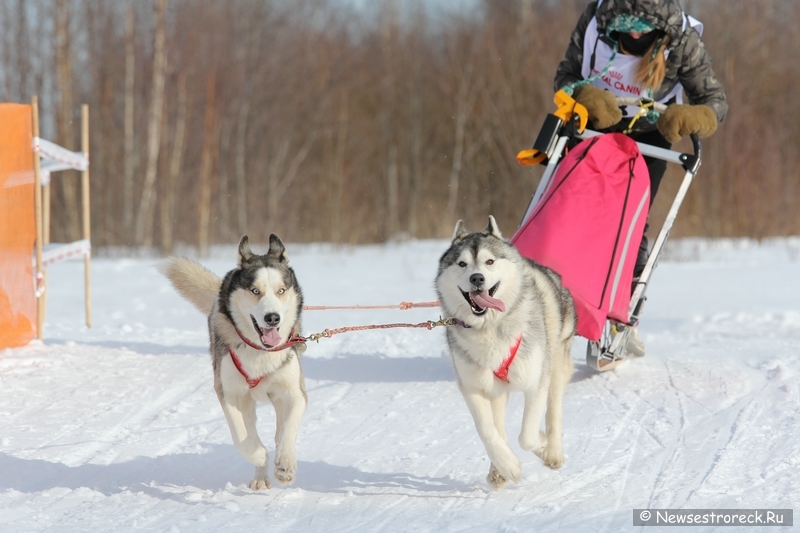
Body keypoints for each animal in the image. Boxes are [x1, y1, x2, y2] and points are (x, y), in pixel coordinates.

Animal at [159, 235, 306, 488]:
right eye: (255, 290)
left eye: (281, 291)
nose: (273, 318)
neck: (259, 351)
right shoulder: (229, 393)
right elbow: (240, 437)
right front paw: (258, 454)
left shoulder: (294, 392)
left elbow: (288, 429)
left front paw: (286, 463)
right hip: (246, 401)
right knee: (251, 429)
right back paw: (261, 474)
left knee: (279, 429)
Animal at [438, 215, 576, 486]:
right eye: (462, 264)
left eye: (490, 261)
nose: (477, 278)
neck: (489, 328)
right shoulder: (472, 387)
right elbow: (486, 430)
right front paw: (508, 464)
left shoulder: (536, 382)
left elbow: (527, 436)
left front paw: (542, 444)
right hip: (496, 389)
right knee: (498, 423)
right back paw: (498, 470)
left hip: (555, 365)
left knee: (553, 411)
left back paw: (553, 450)